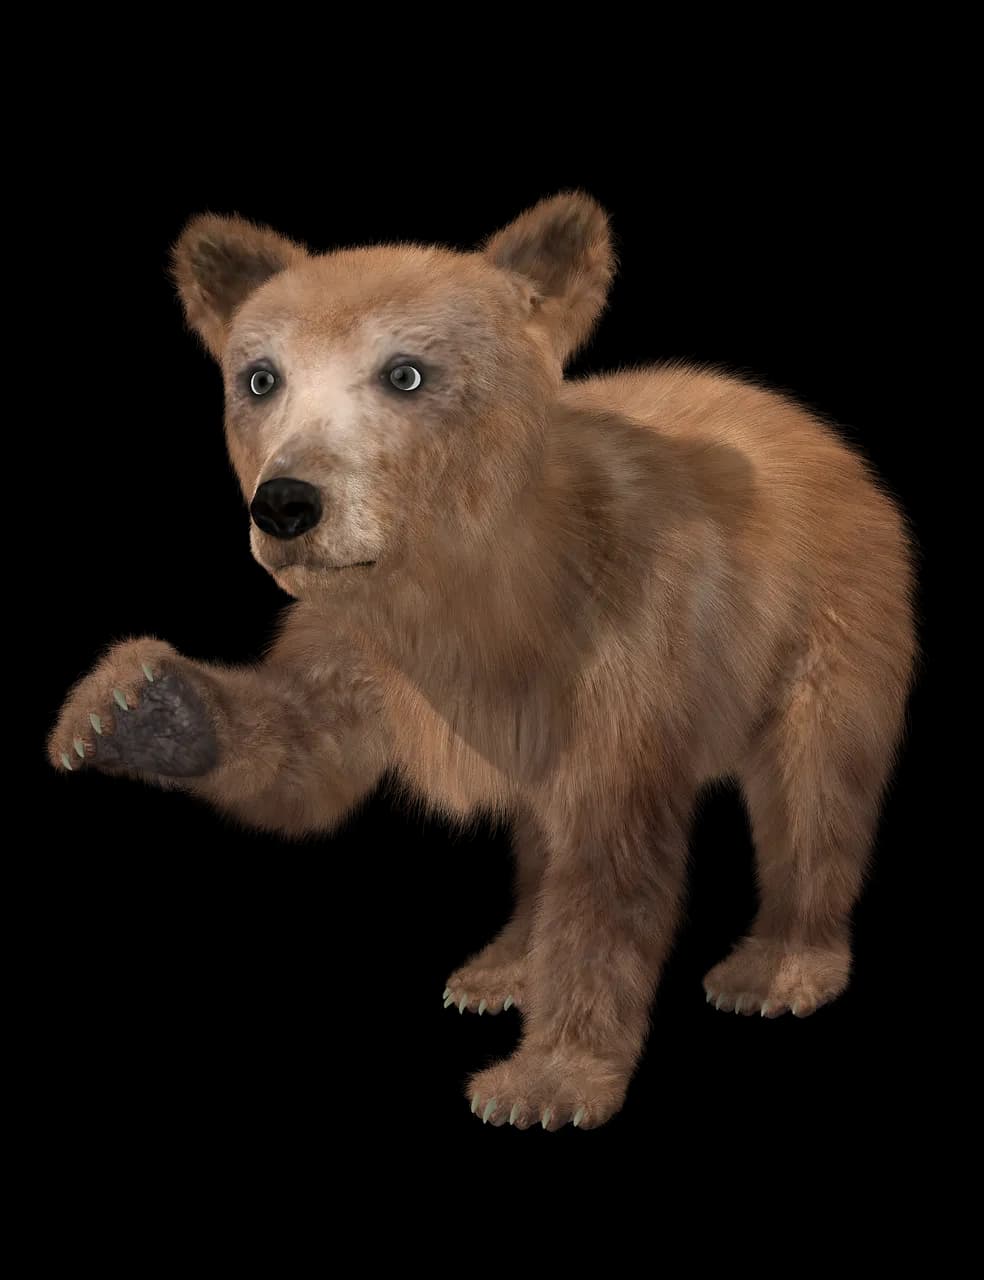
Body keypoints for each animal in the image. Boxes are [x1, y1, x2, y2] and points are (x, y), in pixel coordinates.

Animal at [47, 192, 917, 1130]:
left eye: (405, 373)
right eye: (261, 377)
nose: (285, 503)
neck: (467, 591)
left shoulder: (628, 639)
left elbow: (610, 856)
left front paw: (546, 1082)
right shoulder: (358, 638)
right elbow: (305, 752)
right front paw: (133, 706)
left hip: (832, 616)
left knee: (814, 784)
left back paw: (779, 966)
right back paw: (501, 965)